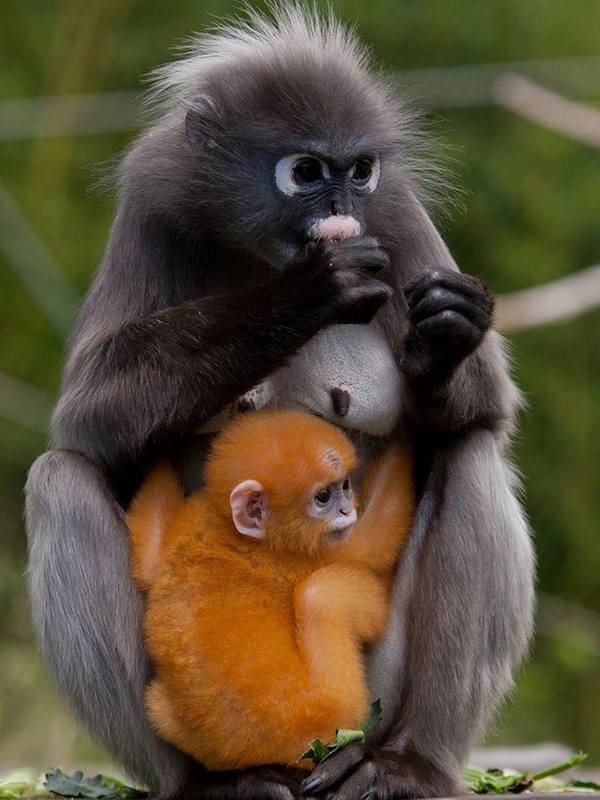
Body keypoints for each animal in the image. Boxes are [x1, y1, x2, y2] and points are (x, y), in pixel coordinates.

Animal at [129, 410, 414, 772]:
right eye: (323, 497)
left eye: (345, 486)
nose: (346, 510)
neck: (230, 526)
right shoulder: (306, 553)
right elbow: (377, 539)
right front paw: (412, 433)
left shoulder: (189, 518)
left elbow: (148, 557)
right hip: (335, 705)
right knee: (321, 593)